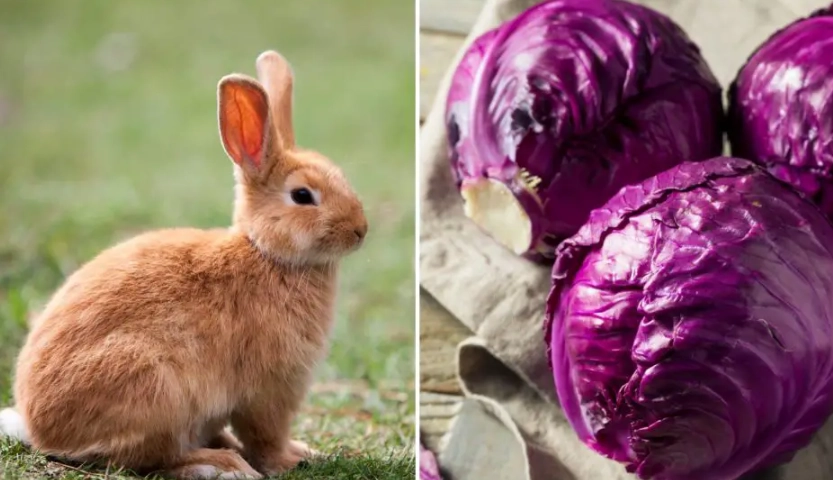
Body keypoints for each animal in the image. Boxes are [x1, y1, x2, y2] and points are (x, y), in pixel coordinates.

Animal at [0, 49, 368, 479]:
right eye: (303, 195)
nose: (360, 230)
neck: (266, 253)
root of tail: (43, 430)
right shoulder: (270, 389)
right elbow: (265, 435)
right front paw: (291, 459)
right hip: (156, 391)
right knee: (150, 457)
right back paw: (220, 464)